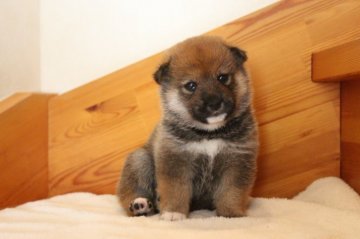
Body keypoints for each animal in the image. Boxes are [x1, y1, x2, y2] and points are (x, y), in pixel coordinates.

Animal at [116, 35, 258, 220]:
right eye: (191, 86)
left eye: (222, 77)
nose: (214, 103)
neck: (209, 134)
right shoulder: (176, 161)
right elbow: (176, 190)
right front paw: (174, 213)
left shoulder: (238, 161)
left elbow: (231, 192)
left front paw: (231, 214)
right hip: (139, 159)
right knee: (130, 193)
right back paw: (140, 205)